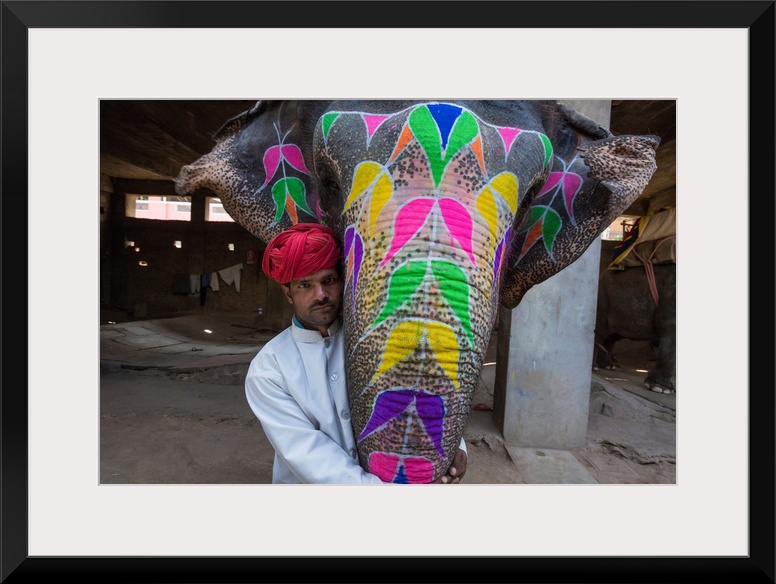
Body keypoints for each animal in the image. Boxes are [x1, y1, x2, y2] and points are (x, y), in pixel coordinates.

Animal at [594, 262, 676, 394]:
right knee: (601, 331)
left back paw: (608, 366)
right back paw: (595, 367)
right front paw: (660, 389)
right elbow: (669, 327)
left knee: (613, 336)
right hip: (603, 297)